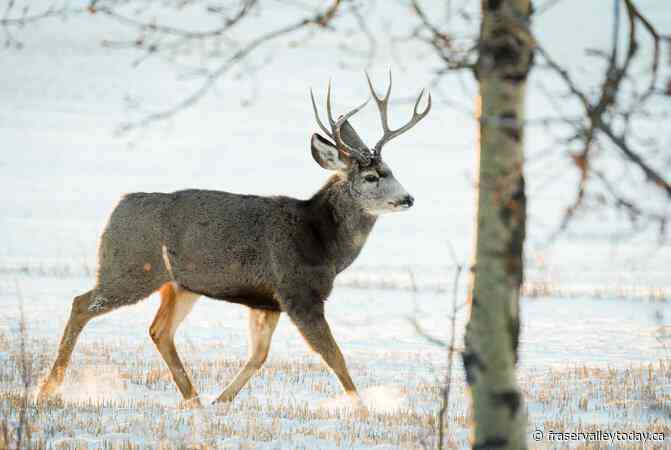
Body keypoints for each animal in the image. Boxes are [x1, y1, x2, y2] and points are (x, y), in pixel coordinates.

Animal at [37, 72, 430, 408]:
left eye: (391, 170)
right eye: (371, 176)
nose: (408, 198)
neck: (322, 241)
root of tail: (117, 207)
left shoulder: (266, 301)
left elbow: (259, 355)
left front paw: (222, 400)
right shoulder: (298, 291)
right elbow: (334, 355)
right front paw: (364, 408)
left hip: (179, 284)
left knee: (159, 330)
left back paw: (194, 399)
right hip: (132, 267)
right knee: (81, 304)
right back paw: (48, 388)